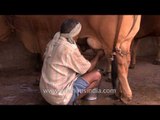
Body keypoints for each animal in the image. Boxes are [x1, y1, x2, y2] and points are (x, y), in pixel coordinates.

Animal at [0, 15, 141, 103]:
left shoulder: (42, 35)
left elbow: (43, 57)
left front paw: (38, 80)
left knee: (121, 66)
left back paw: (126, 96)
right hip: (126, 41)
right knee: (125, 63)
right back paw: (120, 94)